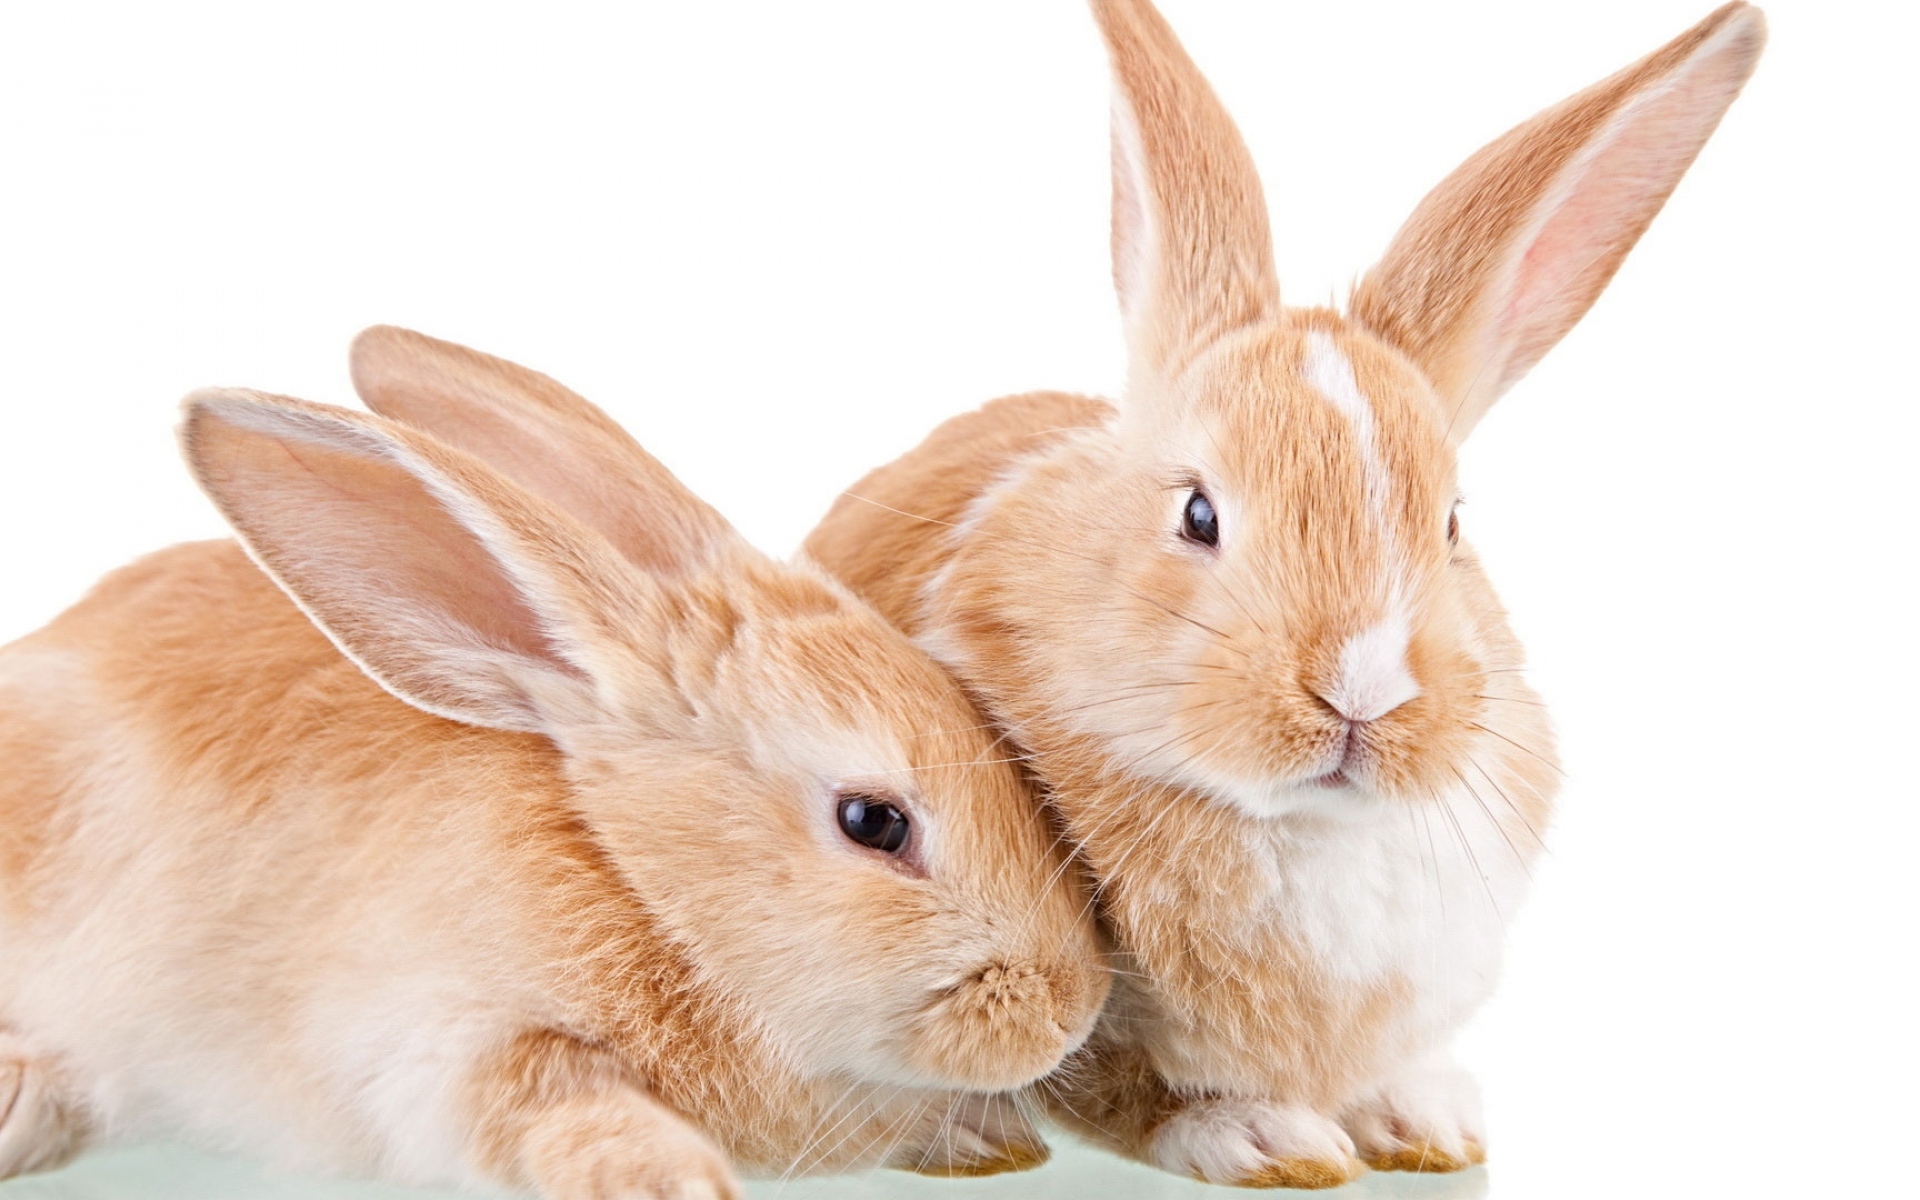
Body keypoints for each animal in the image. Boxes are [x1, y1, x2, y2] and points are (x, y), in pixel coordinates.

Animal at [0, 387, 1110, 1198]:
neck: (639, 883)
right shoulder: (446, 1044)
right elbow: (554, 1102)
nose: (1073, 1011)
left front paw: (991, 1142)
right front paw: (673, 1182)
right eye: (874, 823)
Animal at [802, 0, 1768, 1188]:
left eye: (1453, 523)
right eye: (1198, 515)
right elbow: (1125, 1085)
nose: (1362, 690)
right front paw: (1269, 1139)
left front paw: (1426, 1124)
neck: (1306, 828)